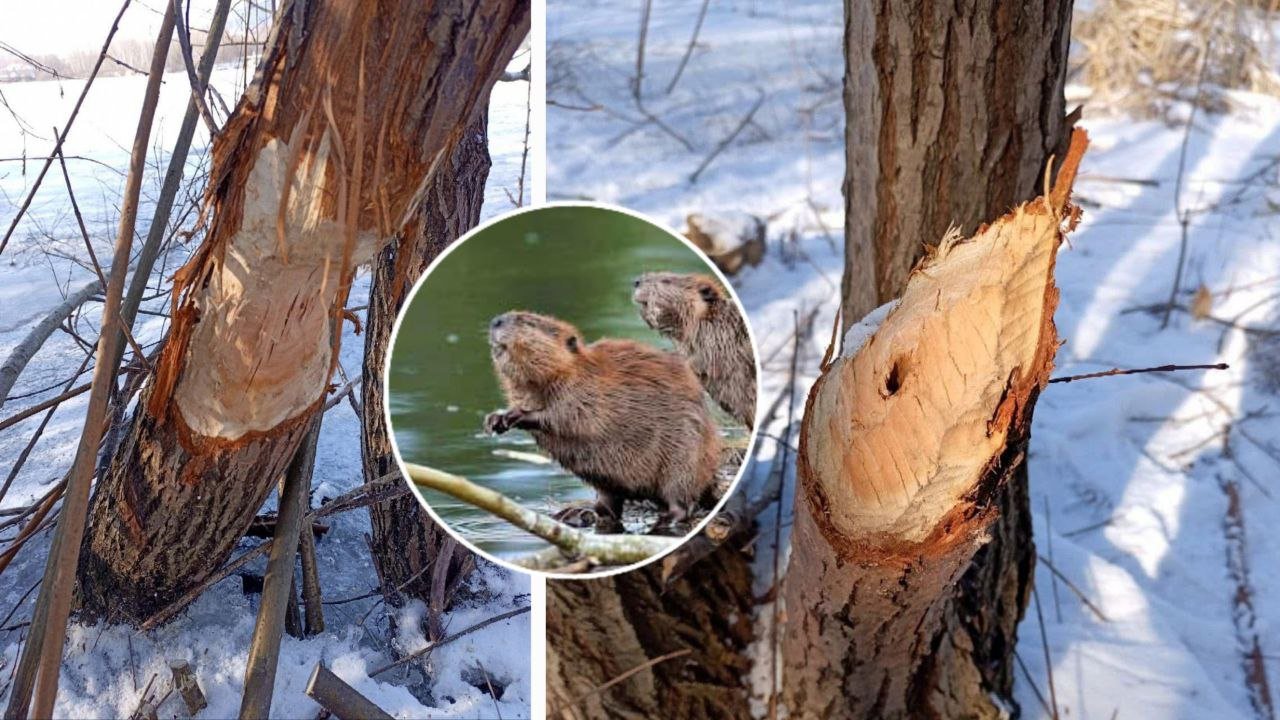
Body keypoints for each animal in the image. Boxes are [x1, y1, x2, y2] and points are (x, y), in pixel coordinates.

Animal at [481, 308, 721, 527]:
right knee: (608, 507)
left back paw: (667, 518)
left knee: (682, 500)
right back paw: (575, 512)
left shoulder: (584, 391)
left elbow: (567, 417)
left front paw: (516, 415)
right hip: (606, 483)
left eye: (528, 322)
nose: (495, 321)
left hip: (684, 457)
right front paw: (495, 420)